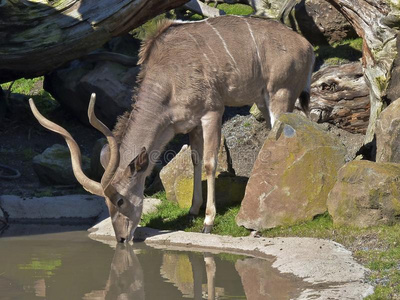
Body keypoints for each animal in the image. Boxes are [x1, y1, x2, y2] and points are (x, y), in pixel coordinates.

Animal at [29, 15, 314, 243]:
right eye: (106, 203)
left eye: (120, 200)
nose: (121, 238)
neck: (169, 75)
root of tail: (307, 46)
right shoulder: (190, 122)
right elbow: (195, 160)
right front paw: (192, 211)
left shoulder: (213, 111)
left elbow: (210, 163)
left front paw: (208, 222)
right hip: (265, 100)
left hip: (280, 95)